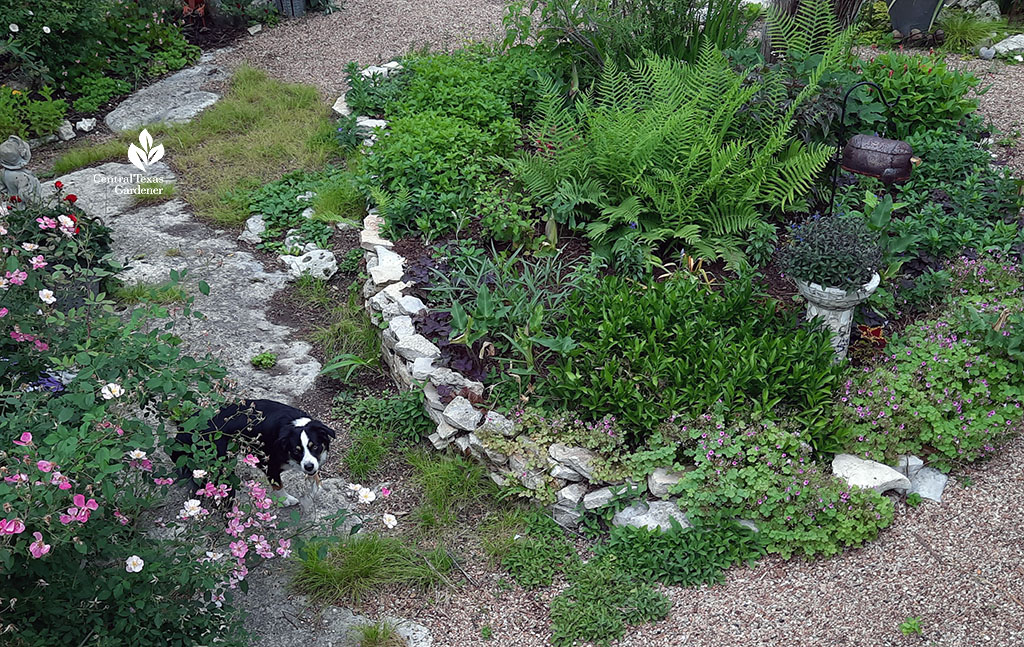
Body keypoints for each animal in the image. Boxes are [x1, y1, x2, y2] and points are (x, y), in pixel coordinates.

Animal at [172, 399, 335, 505]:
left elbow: (315, 477)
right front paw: (286, 499)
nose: (308, 466)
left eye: (315, 446)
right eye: (296, 450)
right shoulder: (268, 464)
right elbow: (278, 485)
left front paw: (316, 487)